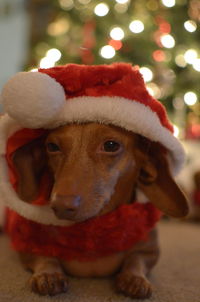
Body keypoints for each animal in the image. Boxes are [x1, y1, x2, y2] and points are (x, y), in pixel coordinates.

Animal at [5, 121, 188, 298]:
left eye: (111, 145)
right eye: (52, 146)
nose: (60, 206)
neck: (95, 229)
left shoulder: (150, 251)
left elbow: (136, 260)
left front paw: (134, 279)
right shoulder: (26, 246)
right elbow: (44, 257)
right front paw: (48, 274)